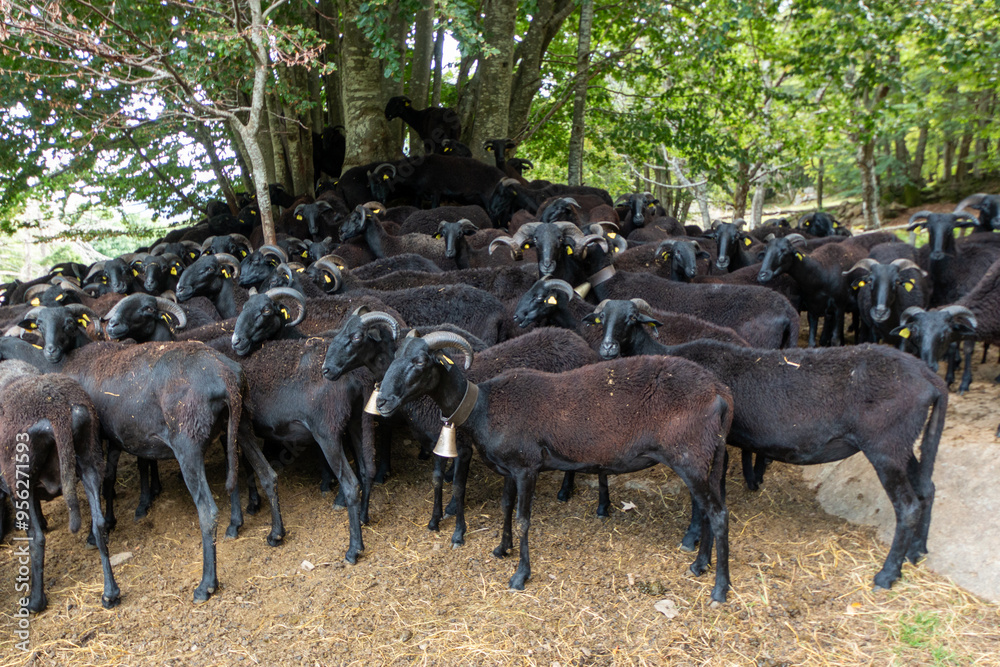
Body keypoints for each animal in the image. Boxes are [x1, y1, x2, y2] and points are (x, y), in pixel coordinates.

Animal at [0, 361, 120, 612]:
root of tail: (56, 407)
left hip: (20, 477)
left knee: (35, 539)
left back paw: (35, 601)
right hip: (89, 456)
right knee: (99, 524)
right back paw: (110, 593)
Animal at [374, 330, 734, 601]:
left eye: (420, 362)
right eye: (392, 358)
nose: (382, 401)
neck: (482, 406)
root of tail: (721, 393)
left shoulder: (526, 467)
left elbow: (523, 519)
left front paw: (520, 575)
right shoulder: (509, 468)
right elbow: (505, 507)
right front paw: (501, 549)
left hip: (691, 457)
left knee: (717, 515)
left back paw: (719, 588)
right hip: (709, 457)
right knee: (707, 511)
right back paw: (699, 565)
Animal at [590, 299, 947, 591]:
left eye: (631, 318)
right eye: (601, 318)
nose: (607, 349)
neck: (667, 354)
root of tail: (931, 378)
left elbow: (699, 502)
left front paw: (690, 541)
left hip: (885, 445)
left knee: (908, 505)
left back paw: (887, 575)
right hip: (903, 443)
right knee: (927, 488)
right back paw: (917, 552)